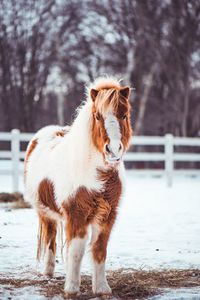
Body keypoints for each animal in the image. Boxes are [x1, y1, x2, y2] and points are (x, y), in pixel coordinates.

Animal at [24, 76, 132, 296]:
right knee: (50, 238)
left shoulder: (107, 215)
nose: (113, 150)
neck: (98, 176)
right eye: (97, 116)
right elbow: (76, 251)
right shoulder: (77, 214)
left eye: (124, 115)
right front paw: (72, 289)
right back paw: (48, 272)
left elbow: (99, 249)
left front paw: (102, 289)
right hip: (44, 212)